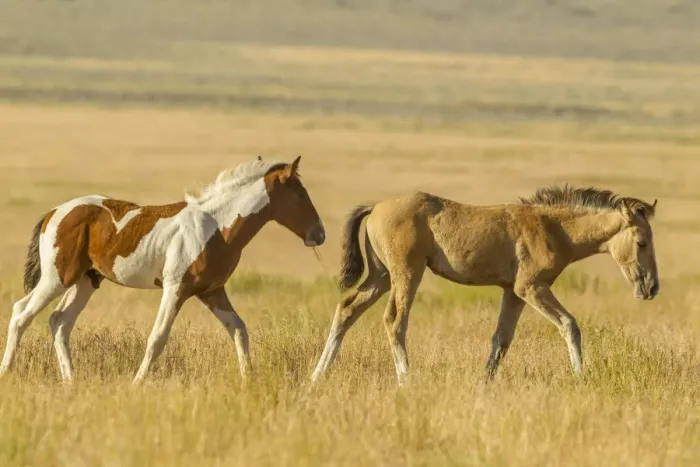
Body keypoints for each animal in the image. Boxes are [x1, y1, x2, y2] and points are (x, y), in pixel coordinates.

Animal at [0, 156, 325, 384]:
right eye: (300, 195)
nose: (319, 234)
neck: (216, 227)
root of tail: (54, 212)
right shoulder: (175, 288)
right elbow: (157, 337)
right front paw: (137, 383)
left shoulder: (212, 292)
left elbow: (239, 330)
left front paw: (250, 380)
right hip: (57, 278)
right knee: (21, 313)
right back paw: (7, 372)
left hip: (86, 281)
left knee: (60, 322)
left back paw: (71, 380)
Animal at [311, 186, 658, 385]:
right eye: (642, 242)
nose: (651, 287)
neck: (553, 227)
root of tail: (375, 207)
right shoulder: (531, 288)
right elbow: (569, 325)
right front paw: (580, 377)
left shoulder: (512, 293)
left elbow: (501, 339)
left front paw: (484, 384)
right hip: (406, 274)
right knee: (395, 321)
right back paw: (406, 381)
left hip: (381, 276)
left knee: (347, 310)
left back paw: (318, 376)